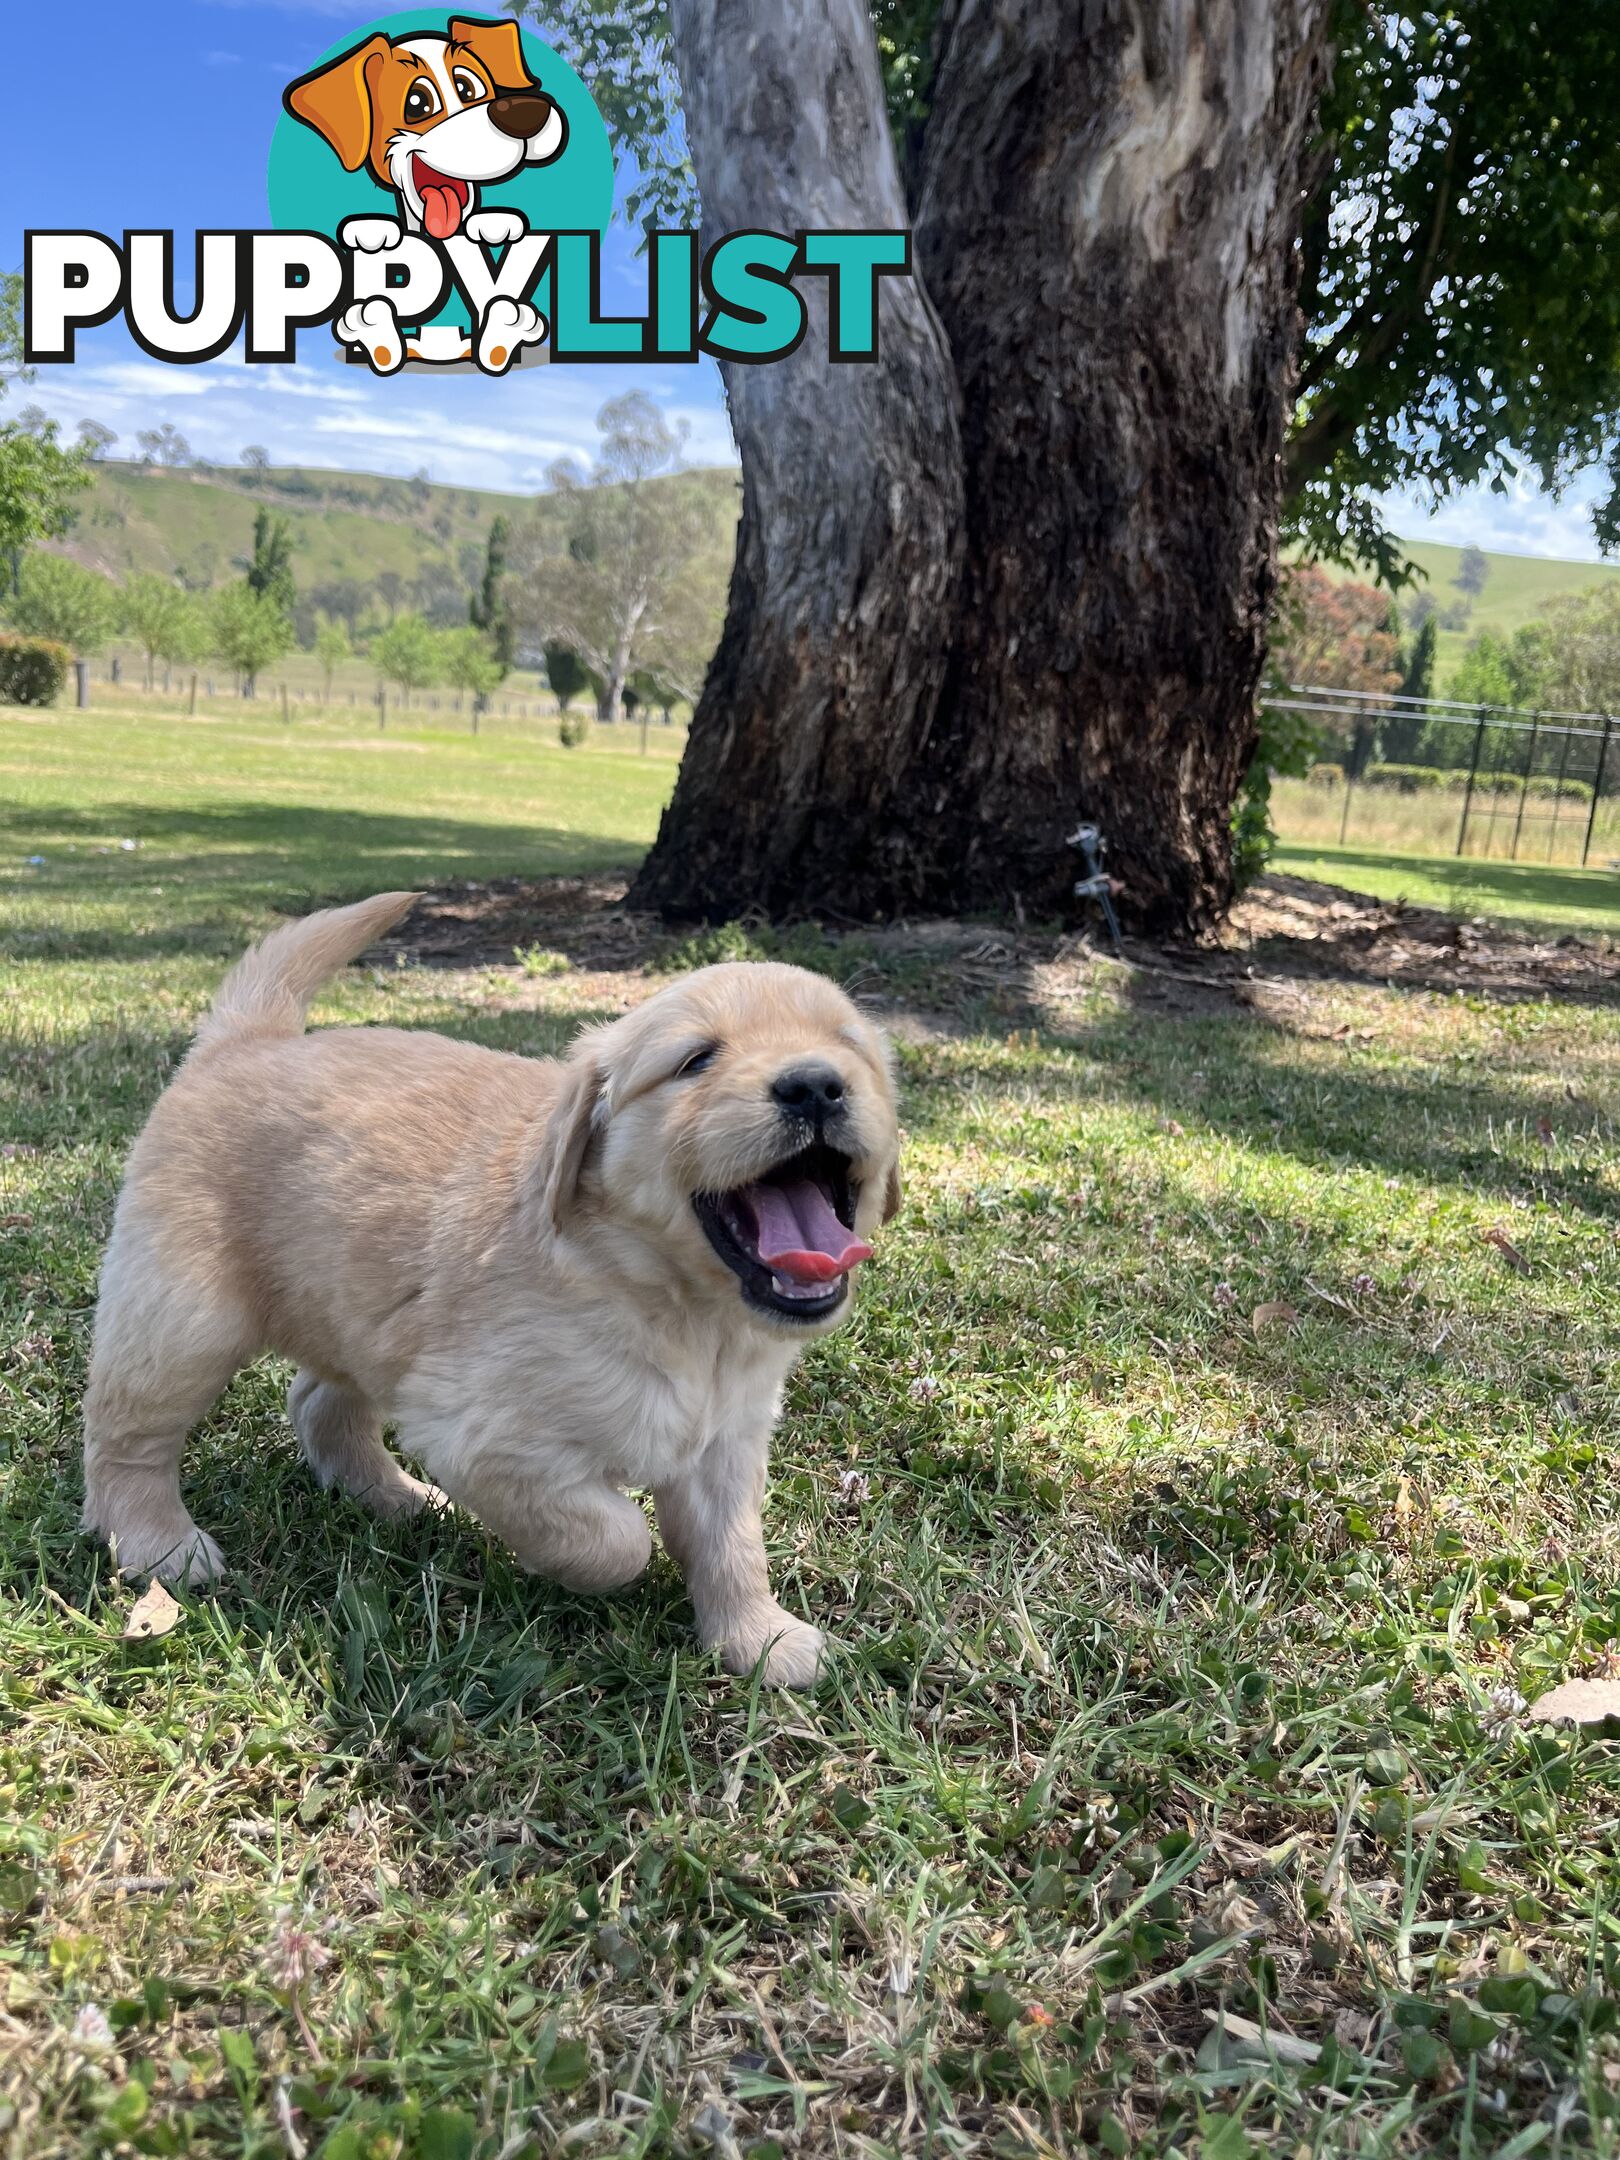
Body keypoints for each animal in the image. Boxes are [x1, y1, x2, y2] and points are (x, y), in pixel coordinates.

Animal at [79, 894, 902, 1684]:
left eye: (850, 1048)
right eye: (697, 1059)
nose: (815, 1084)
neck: (685, 1312)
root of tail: (250, 1037)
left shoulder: (727, 1441)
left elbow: (733, 1546)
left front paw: (761, 1639)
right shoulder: (483, 1438)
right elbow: (616, 1539)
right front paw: (572, 1562)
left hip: (359, 1316)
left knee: (317, 1403)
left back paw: (398, 1500)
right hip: (183, 1320)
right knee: (126, 1440)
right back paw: (161, 1546)